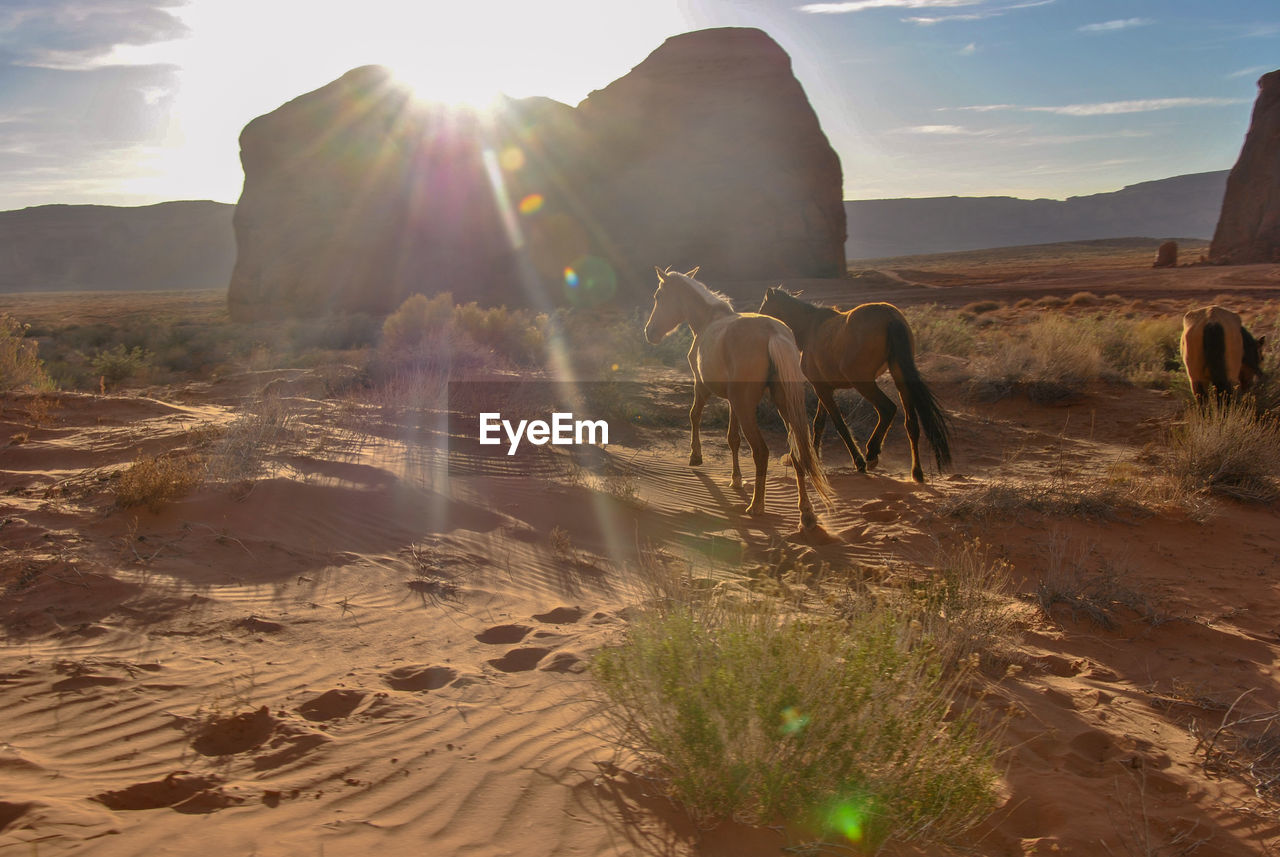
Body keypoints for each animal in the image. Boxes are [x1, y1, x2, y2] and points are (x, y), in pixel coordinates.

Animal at [645, 264, 834, 529]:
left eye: (658, 296)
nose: (649, 332)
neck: (708, 320)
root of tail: (773, 334)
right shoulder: (732, 401)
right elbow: (732, 438)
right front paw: (736, 479)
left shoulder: (702, 387)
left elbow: (694, 415)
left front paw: (695, 456)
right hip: (783, 405)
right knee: (798, 452)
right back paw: (806, 513)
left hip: (748, 407)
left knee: (761, 452)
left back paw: (757, 506)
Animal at [757, 289, 952, 486]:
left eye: (764, 308)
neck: (810, 329)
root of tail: (890, 317)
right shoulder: (825, 388)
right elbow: (819, 423)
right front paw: (814, 458)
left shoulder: (821, 389)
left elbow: (839, 424)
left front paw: (858, 461)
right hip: (900, 377)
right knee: (911, 424)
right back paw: (916, 472)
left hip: (864, 382)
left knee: (887, 409)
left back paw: (872, 454)